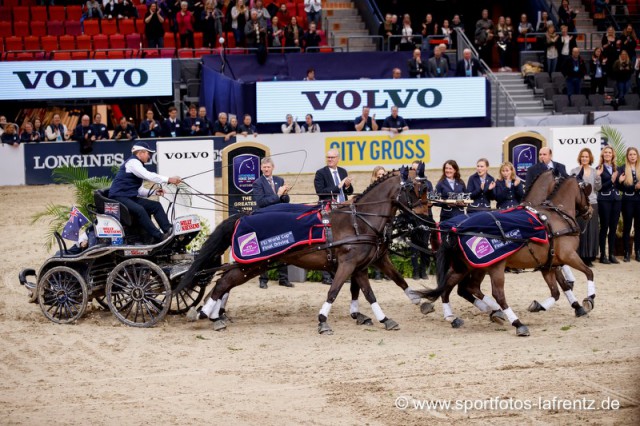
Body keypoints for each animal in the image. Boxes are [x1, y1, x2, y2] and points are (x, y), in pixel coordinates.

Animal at [176, 169, 424, 332]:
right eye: (416, 189)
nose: (425, 217)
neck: (359, 221)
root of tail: (244, 216)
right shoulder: (348, 264)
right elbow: (334, 291)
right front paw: (323, 320)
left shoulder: (360, 266)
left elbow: (372, 291)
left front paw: (387, 317)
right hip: (253, 263)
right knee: (223, 283)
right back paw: (205, 313)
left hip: (253, 265)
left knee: (224, 282)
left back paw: (212, 314)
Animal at [420, 176, 592, 336]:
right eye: (586, 191)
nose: (590, 210)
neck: (555, 218)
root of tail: (455, 230)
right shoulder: (568, 256)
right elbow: (587, 273)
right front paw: (588, 300)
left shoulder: (548, 265)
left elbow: (557, 291)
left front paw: (548, 306)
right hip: (493, 266)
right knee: (495, 294)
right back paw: (515, 322)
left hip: (466, 266)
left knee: (452, 287)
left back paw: (455, 316)